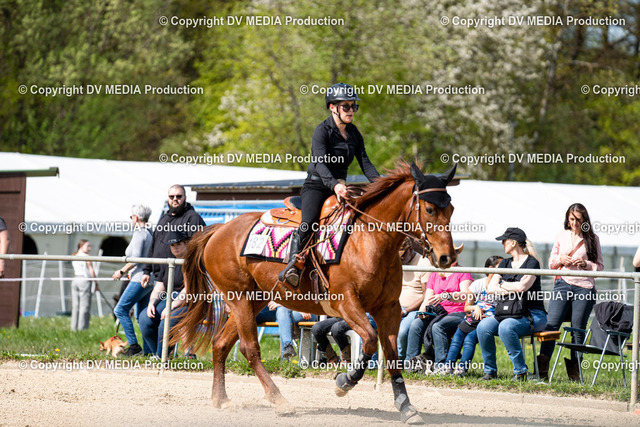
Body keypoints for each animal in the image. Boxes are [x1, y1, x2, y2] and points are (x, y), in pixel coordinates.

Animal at [175, 161, 460, 425]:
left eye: (452, 209)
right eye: (430, 209)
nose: (446, 257)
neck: (368, 241)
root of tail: (218, 230)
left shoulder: (388, 308)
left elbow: (390, 355)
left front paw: (406, 406)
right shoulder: (347, 303)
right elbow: (369, 340)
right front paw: (344, 380)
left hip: (254, 300)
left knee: (221, 344)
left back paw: (221, 400)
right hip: (240, 299)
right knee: (249, 348)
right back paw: (280, 401)